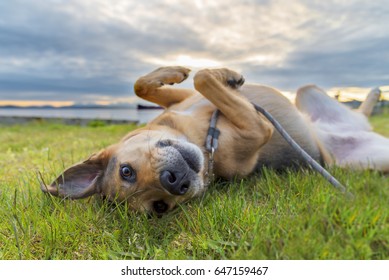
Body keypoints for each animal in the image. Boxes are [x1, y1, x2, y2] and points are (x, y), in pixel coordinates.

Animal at [41, 66, 388, 214]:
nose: (174, 181)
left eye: (126, 171)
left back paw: (373, 94)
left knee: (358, 110)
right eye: (160, 207)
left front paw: (179, 70)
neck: (199, 135)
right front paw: (223, 75)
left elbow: (148, 85)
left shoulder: (183, 99)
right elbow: (204, 79)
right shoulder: (258, 128)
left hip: (306, 92)